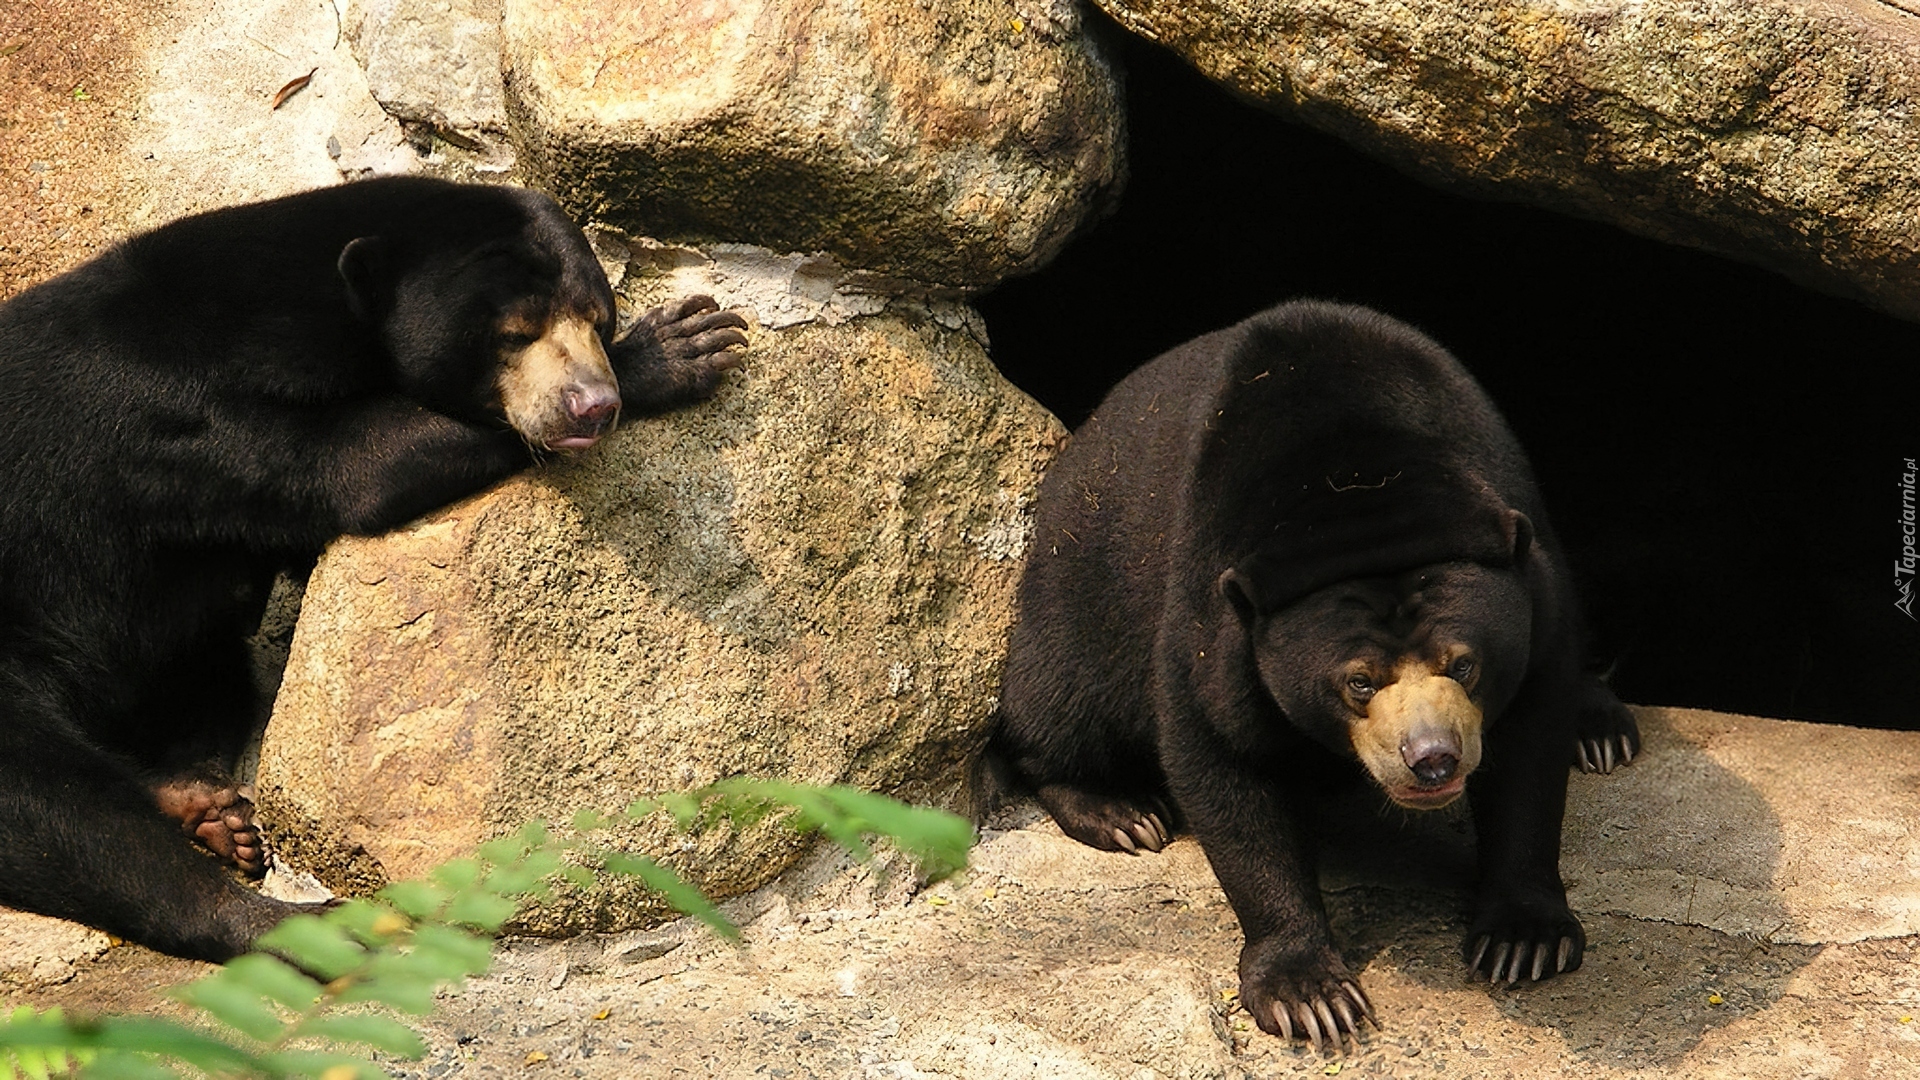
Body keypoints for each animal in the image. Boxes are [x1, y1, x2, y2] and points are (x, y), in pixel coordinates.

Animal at [0, 176, 748, 957]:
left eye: (596, 320)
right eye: (515, 332)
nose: (592, 406)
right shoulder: (183, 417)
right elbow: (357, 464)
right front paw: (677, 350)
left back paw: (206, 808)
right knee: (61, 807)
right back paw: (294, 925)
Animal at [990, 299, 1635, 1053]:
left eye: (1464, 664)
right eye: (1359, 682)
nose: (1433, 761)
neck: (1359, 489)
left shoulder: (1535, 587)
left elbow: (1532, 746)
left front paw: (1523, 942)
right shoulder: (1212, 616)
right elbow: (1222, 760)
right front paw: (1311, 997)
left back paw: (1602, 730)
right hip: (1079, 583)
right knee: (1060, 696)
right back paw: (1122, 813)